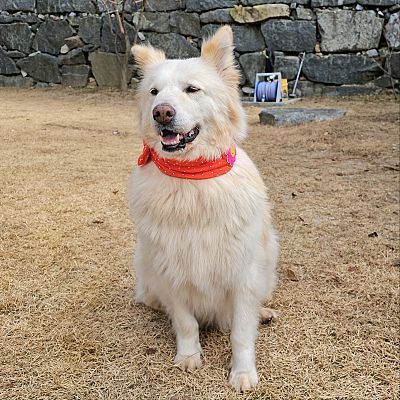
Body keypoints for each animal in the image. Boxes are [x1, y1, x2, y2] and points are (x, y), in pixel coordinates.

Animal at [129, 25, 278, 390]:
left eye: (192, 89)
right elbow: (185, 322)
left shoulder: (243, 273)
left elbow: (241, 333)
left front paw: (242, 373)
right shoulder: (170, 269)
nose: (161, 112)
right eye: (153, 92)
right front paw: (188, 356)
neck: (191, 179)